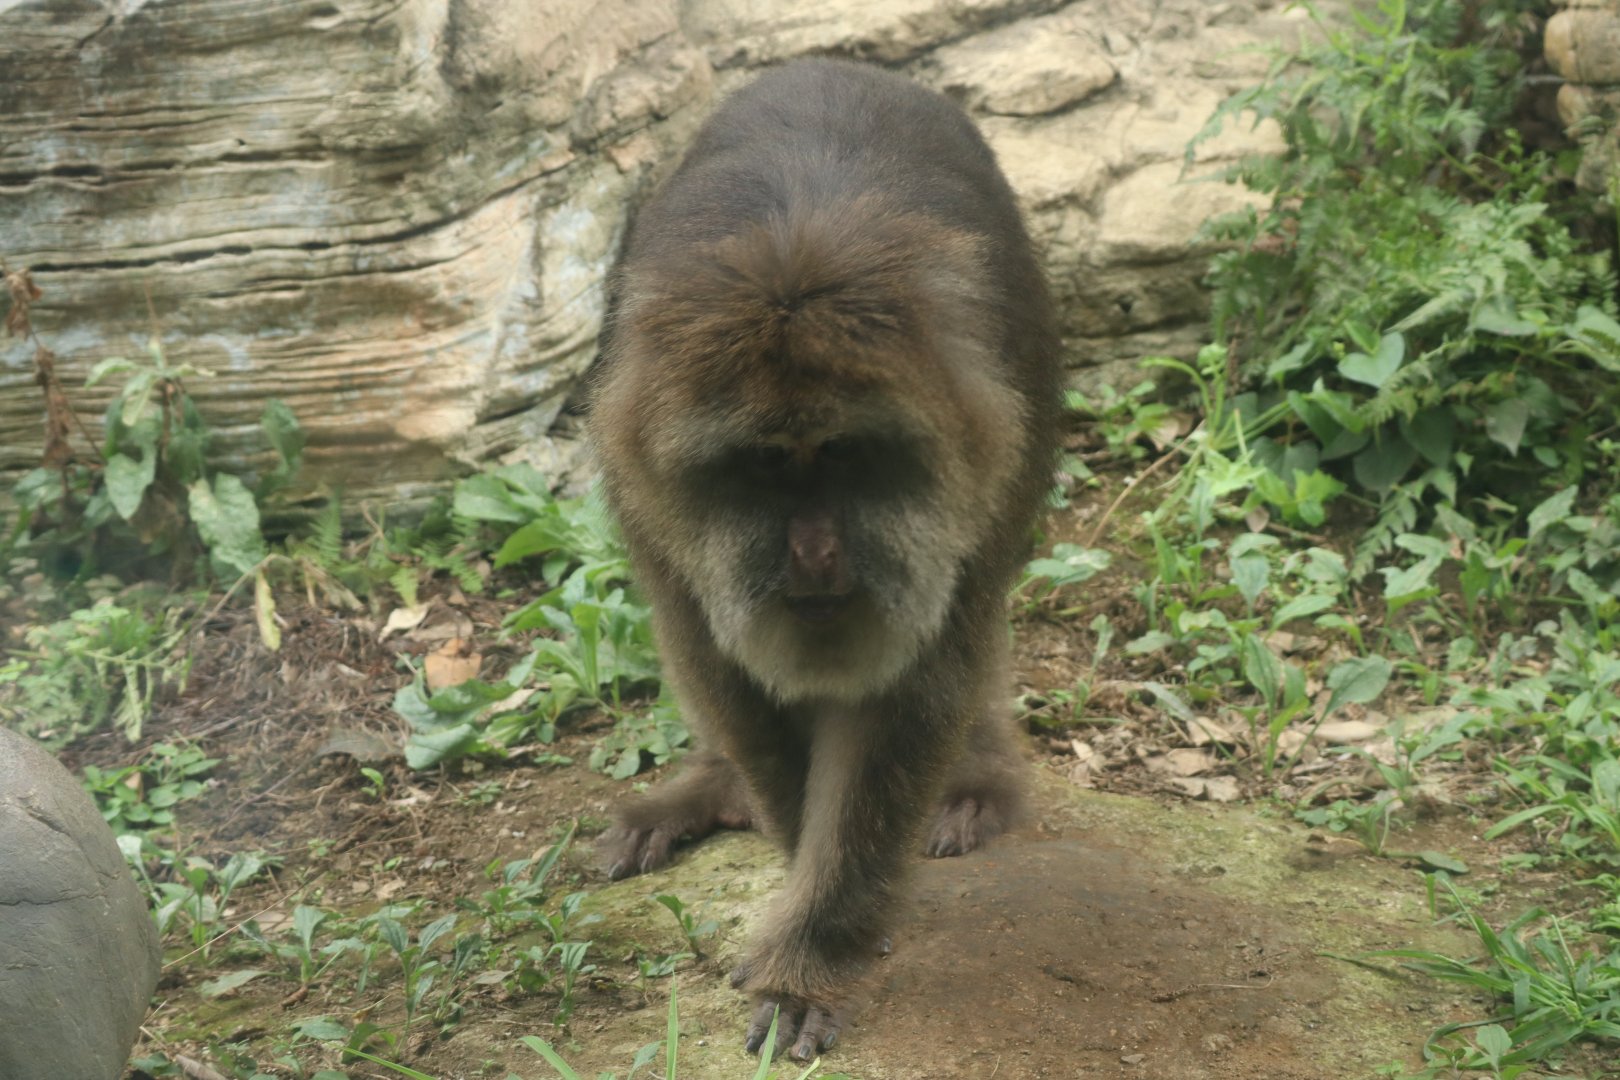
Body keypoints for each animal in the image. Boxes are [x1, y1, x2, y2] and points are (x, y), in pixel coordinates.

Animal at [588, 57, 1061, 1061]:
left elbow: (905, 704)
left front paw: (814, 952)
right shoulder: (647, 491)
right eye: (768, 465)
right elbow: (729, 679)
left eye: (844, 456)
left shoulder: (982, 466)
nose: (813, 550)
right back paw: (713, 791)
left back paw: (972, 788)